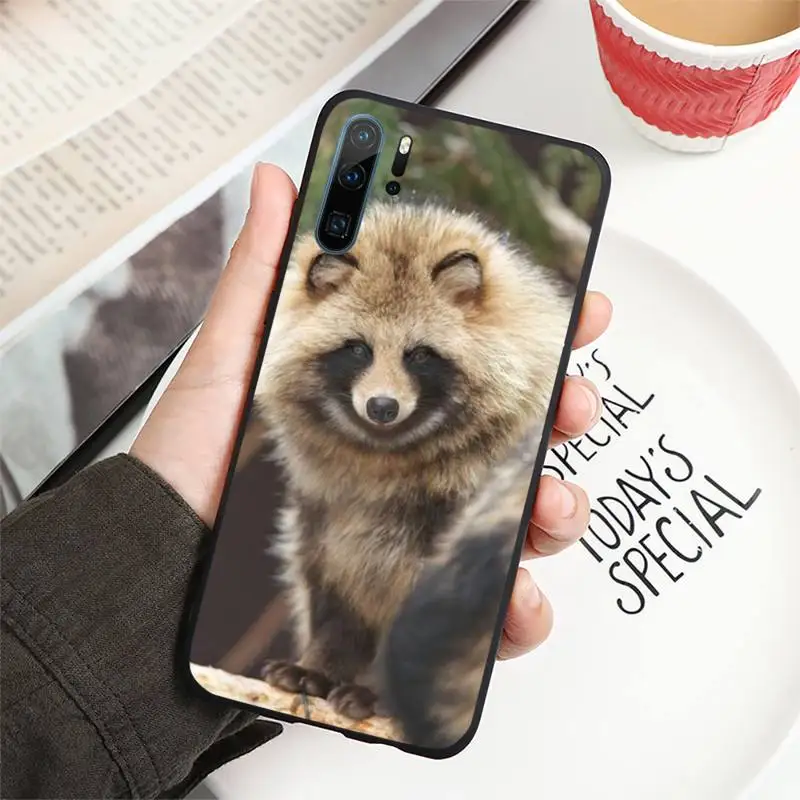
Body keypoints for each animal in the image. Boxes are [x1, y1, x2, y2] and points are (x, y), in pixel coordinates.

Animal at [253, 201, 575, 748]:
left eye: (420, 355)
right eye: (358, 349)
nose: (382, 407)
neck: (388, 459)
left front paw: (379, 694)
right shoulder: (323, 511)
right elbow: (334, 585)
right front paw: (322, 663)